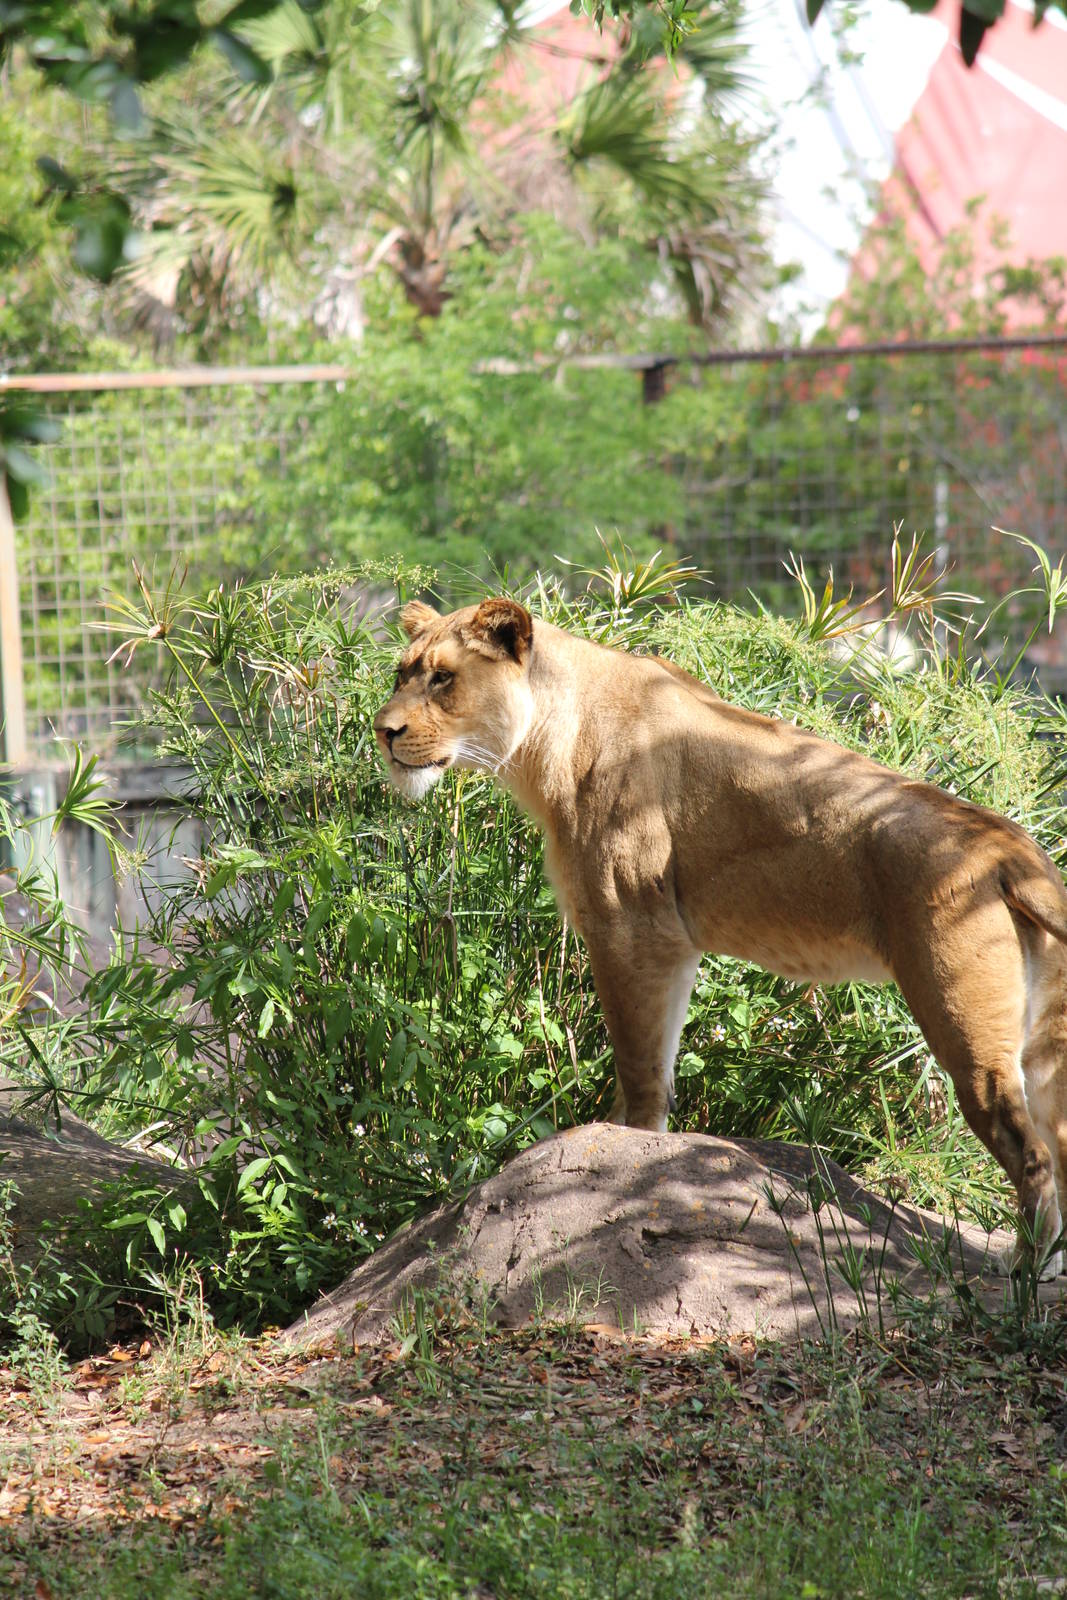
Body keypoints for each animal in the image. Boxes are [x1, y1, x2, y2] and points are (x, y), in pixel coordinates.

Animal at [374, 596, 1067, 1276]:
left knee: (1029, 1152)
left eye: (443, 678)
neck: (545, 740)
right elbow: (661, 1052)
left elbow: (637, 1059)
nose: (383, 731)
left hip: (963, 1021)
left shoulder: (630, 927)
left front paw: (628, 1145)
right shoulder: (671, 945)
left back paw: (1026, 1272)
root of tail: (1014, 852)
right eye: (401, 674)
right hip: (1046, 1045)